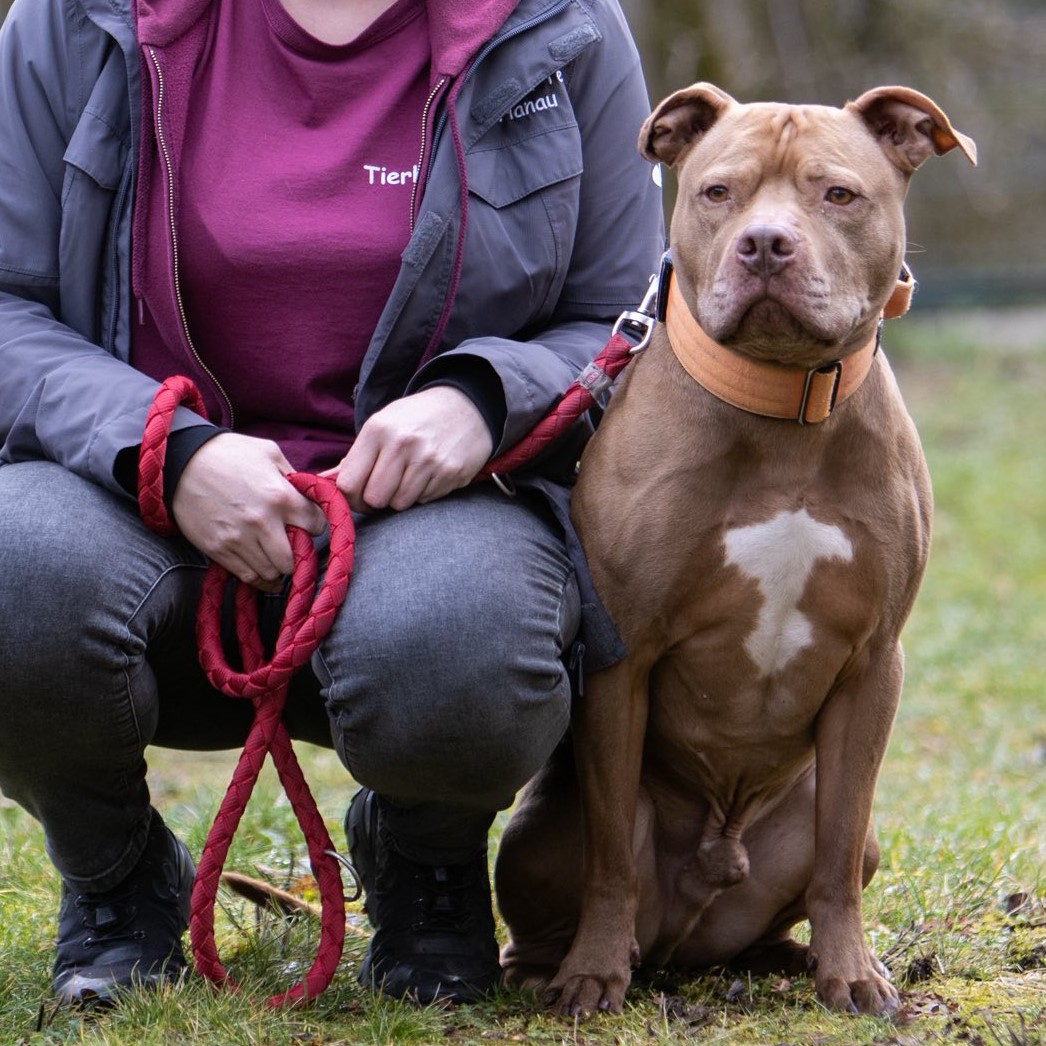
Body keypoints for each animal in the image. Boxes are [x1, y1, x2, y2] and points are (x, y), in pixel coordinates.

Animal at [494, 84, 976, 1017]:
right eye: (719, 192)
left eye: (839, 195)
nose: (764, 244)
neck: (784, 403)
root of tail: (685, 943)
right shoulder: (623, 656)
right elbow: (611, 854)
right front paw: (591, 974)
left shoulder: (874, 662)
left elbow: (837, 858)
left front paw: (852, 974)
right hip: (538, 828)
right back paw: (555, 967)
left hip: (826, 819)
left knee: (828, 859)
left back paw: (789, 957)